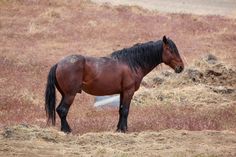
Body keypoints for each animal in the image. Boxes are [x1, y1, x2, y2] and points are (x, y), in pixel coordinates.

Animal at [44, 35, 184, 132]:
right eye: (171, 50)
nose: (181, 67)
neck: (131, 63)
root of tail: (59, 63)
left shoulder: (122, 93)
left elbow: (121, 110)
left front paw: (119, 129)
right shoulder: (128, 91)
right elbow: (126, 110)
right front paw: (124, 130)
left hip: (65, 94)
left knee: (59, 110)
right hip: (70, 94)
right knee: (62, 110)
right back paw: (67, 130)